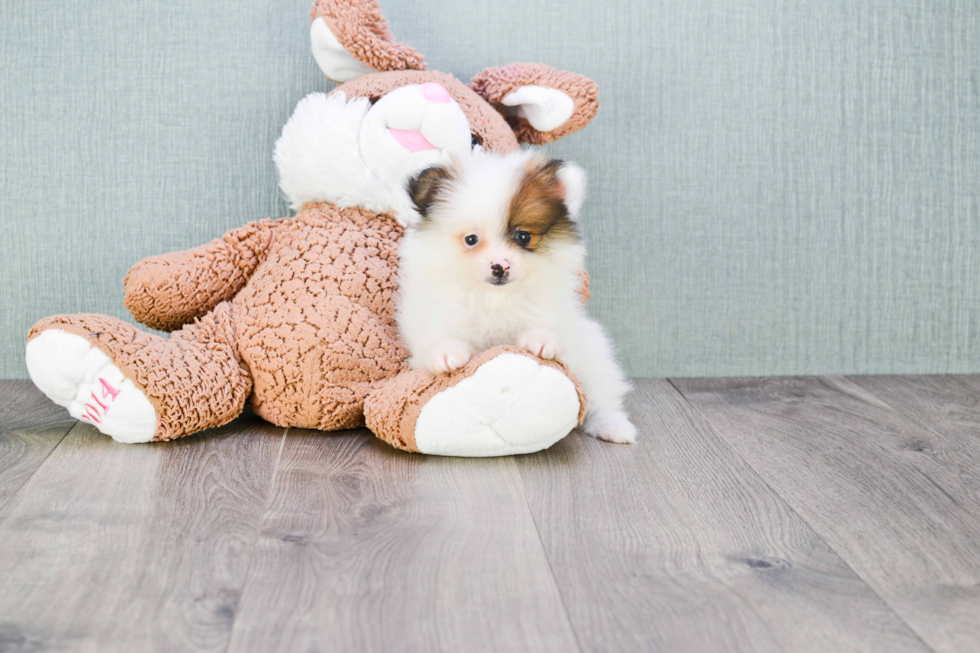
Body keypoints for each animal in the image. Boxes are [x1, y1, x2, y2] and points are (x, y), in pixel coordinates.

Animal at [396, 149, 636, 444]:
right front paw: (447, 353)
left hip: (594, 353)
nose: (500, 266)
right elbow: (441, 338)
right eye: (471, 239)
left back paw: (614, 427)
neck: (495, 298)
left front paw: (540, 339)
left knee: (602, 397)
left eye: (523, 236)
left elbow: (546, 328)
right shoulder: (434, 315)